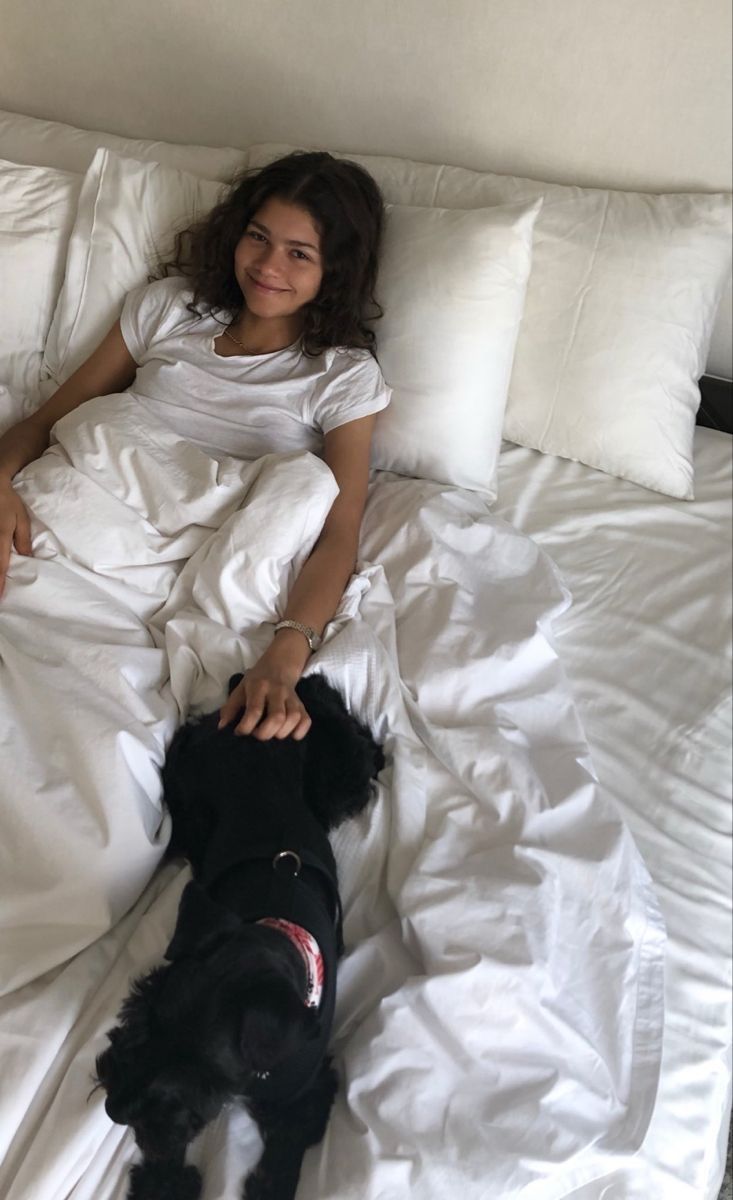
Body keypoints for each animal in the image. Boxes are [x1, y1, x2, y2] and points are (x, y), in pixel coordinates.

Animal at [94, 676, 383, 1200]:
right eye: (141, 1012)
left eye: (202, 1071)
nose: (114, 1109)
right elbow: (166, 1141)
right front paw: (164, 1183)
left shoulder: (304, 1096)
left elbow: (281, 1160)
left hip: (342, 784)